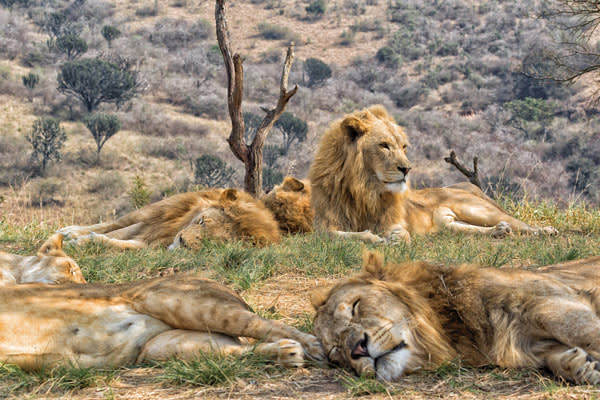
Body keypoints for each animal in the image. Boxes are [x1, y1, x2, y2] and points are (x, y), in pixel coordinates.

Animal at [0, 274, 326, 370]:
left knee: (263, 324)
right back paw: (286, 353)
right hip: (169, 347)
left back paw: (315, 348)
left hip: (179, 300)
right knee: (236, 353)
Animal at [58, 188, 282, 250]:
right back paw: (67, 230)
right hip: (154, 210)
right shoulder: (152, 224)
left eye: (213, 241)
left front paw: (80, 242)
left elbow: (113, 241)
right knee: (114, 223)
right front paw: (74, 239)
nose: (182, 242)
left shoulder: (147, 244)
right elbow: (114, 231)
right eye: (201, 221)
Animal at [310, 104, 556, 242]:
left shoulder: (393, 219)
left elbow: (398, 232)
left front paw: (395, 238)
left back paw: (545, 231)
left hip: (479, 210)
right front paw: (372, 237)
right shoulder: (323, 226)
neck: (364, 189)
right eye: (384, 145)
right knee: (468, 229)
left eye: (404, 147)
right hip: (447, 226)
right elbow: (336, 235)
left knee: (521, 225)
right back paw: (499, 232)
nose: (406, 169)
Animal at [312, 253, 600, 384]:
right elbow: (557, 356)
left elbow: (584, 333)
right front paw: (581, 365)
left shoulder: (552, 301)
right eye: (336, 351)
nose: (357, 349)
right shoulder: (528, 344)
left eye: (355, 307)